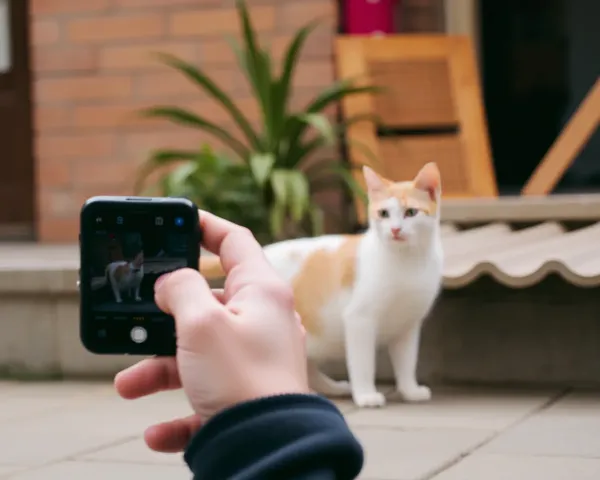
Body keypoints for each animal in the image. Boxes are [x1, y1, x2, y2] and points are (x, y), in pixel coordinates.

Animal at [199, 163, 442, 406]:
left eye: (411, 212)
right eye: (384, 214)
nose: (395, 230)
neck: (407, 261)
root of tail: (259, 250)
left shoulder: (408, 326)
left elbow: (407, 362)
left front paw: (410, 391)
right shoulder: (359, 319)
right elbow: (363, 362)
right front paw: (365, 395)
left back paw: (331, 388)